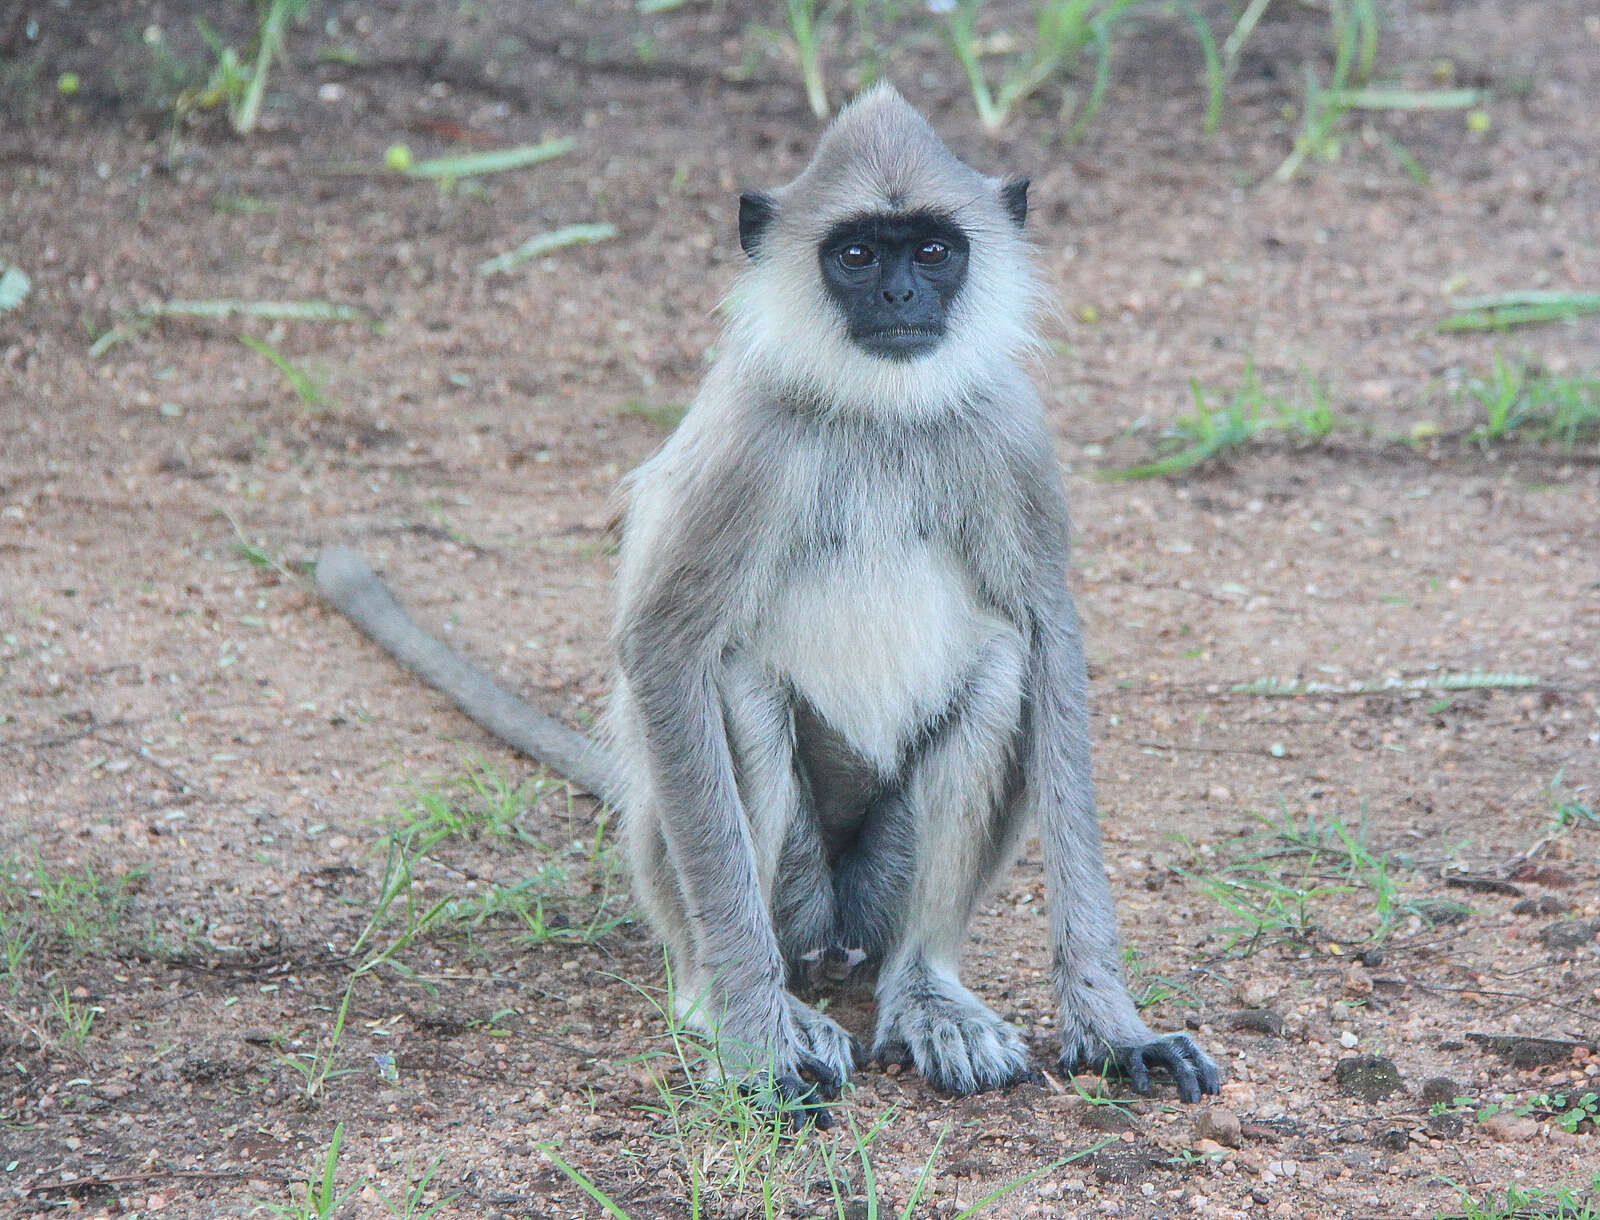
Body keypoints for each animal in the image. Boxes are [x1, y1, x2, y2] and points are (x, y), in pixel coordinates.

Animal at [318, 83, 1216, 1120]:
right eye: (858, 256)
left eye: (933, 252)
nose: (901, 298)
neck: (879, 412)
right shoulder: (752, 443)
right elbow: (667, 651)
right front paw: (753, 1037)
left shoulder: (1011, 434)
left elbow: (1048, 635)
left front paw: (1113, 1026)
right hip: (730, 879)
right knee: (737, 691)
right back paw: (747, 997)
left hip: (872, 891)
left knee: (999, 669)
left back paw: (926, 988)